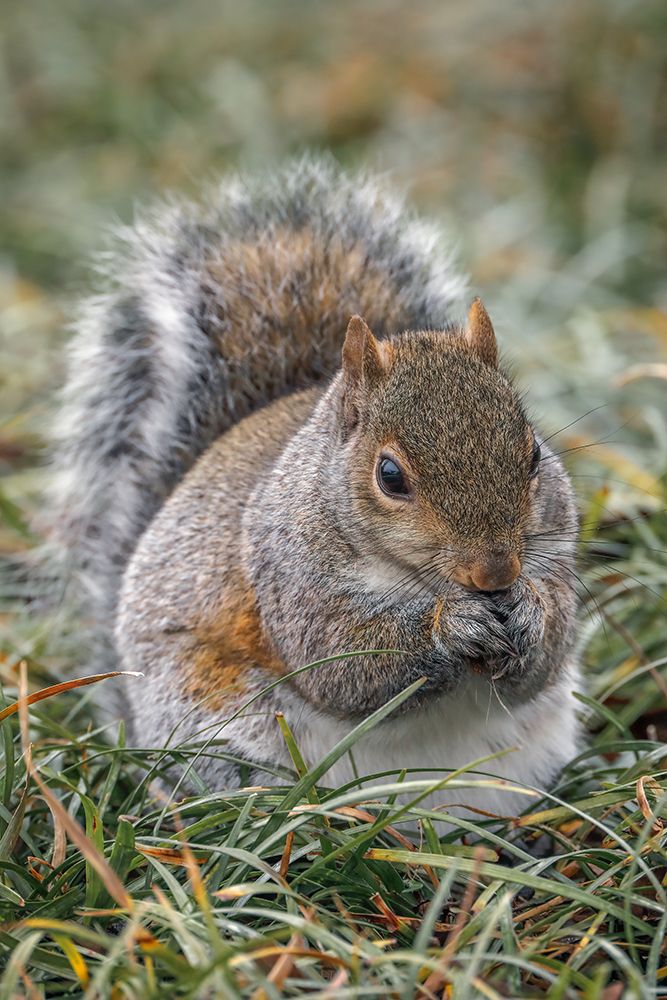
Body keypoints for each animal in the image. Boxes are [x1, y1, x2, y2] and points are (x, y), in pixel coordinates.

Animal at [51, 157, 581, 817]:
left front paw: (530, 615)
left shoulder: (557, 547)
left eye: (533, 453)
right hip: (214, 731)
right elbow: (340, 663)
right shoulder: (288, 574)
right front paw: (452, 627)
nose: (496, 574)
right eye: (389, 476)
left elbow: (547, 655)